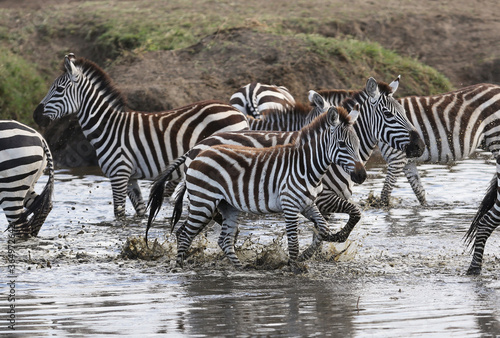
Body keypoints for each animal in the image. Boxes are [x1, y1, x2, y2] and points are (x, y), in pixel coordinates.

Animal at [33, 51, 248, 218]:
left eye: (59, 89)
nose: (35, 115)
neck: (108, 127)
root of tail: (237, 112)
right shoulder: (130, 178)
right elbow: (140, 212)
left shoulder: (118, 174)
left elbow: (119, 214)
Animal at [173, 105, 368, 270]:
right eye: (342, 144)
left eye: (358, 143)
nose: (362, 175)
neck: (305, 165)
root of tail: (197, 152)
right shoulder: (290, 205)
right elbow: (294, 242)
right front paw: (293, 268)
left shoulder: (307, 204)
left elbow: (323, 227)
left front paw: (307, 255)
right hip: (203, 202)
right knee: (185, 234)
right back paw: (179, 268)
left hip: (226, 205)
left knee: (224, 240)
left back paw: (242, 269)